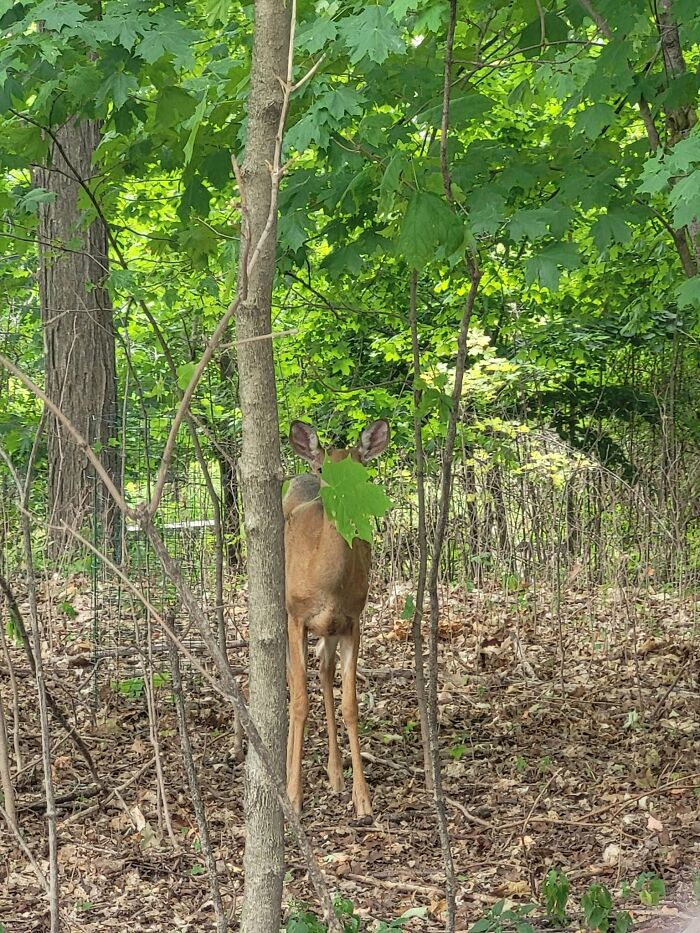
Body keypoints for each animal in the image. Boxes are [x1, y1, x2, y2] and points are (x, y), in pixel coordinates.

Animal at [283, 418, 390, 819]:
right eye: (322, 469)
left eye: (361, 468)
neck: (326, 583)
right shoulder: (296, 617)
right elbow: (300, 701)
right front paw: (293, 796)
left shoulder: (352, 620)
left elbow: (350, 706)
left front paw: (363, 799)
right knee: (294, 679)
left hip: (329, 629)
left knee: (324, 671)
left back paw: (335, 773)